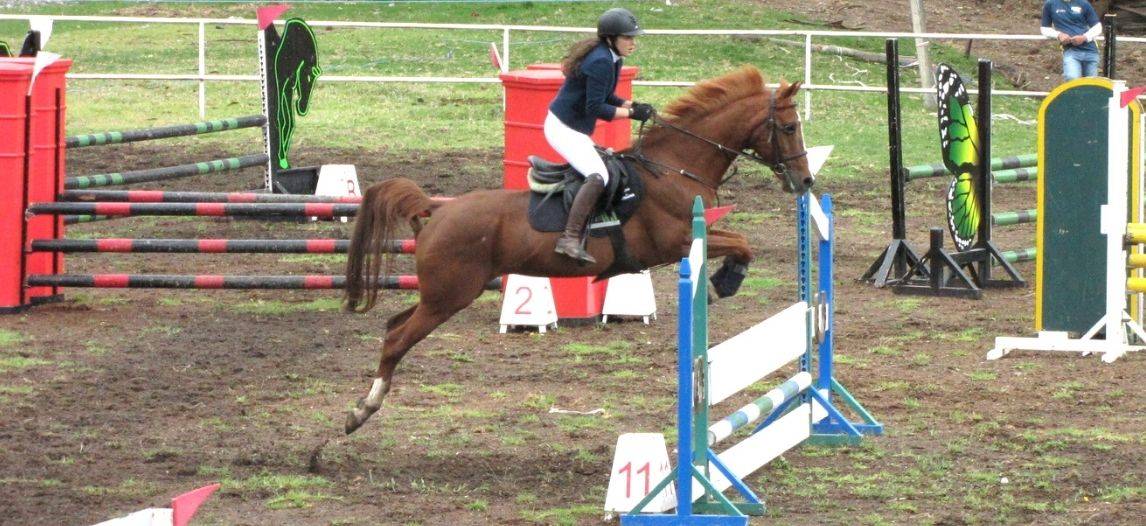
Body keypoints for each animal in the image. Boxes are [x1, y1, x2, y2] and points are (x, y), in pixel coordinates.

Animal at [342, 66, 813, 434]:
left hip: (441, 294)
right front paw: (724, 281)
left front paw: (725, 279)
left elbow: (742, 242)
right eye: (790, 128)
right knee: (397, 339)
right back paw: (361, 411)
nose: (805, 181)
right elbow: (742, 244)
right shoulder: (677, 242)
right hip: (449, 295)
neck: (675, 168)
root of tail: (437, 210)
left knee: (393, 326)